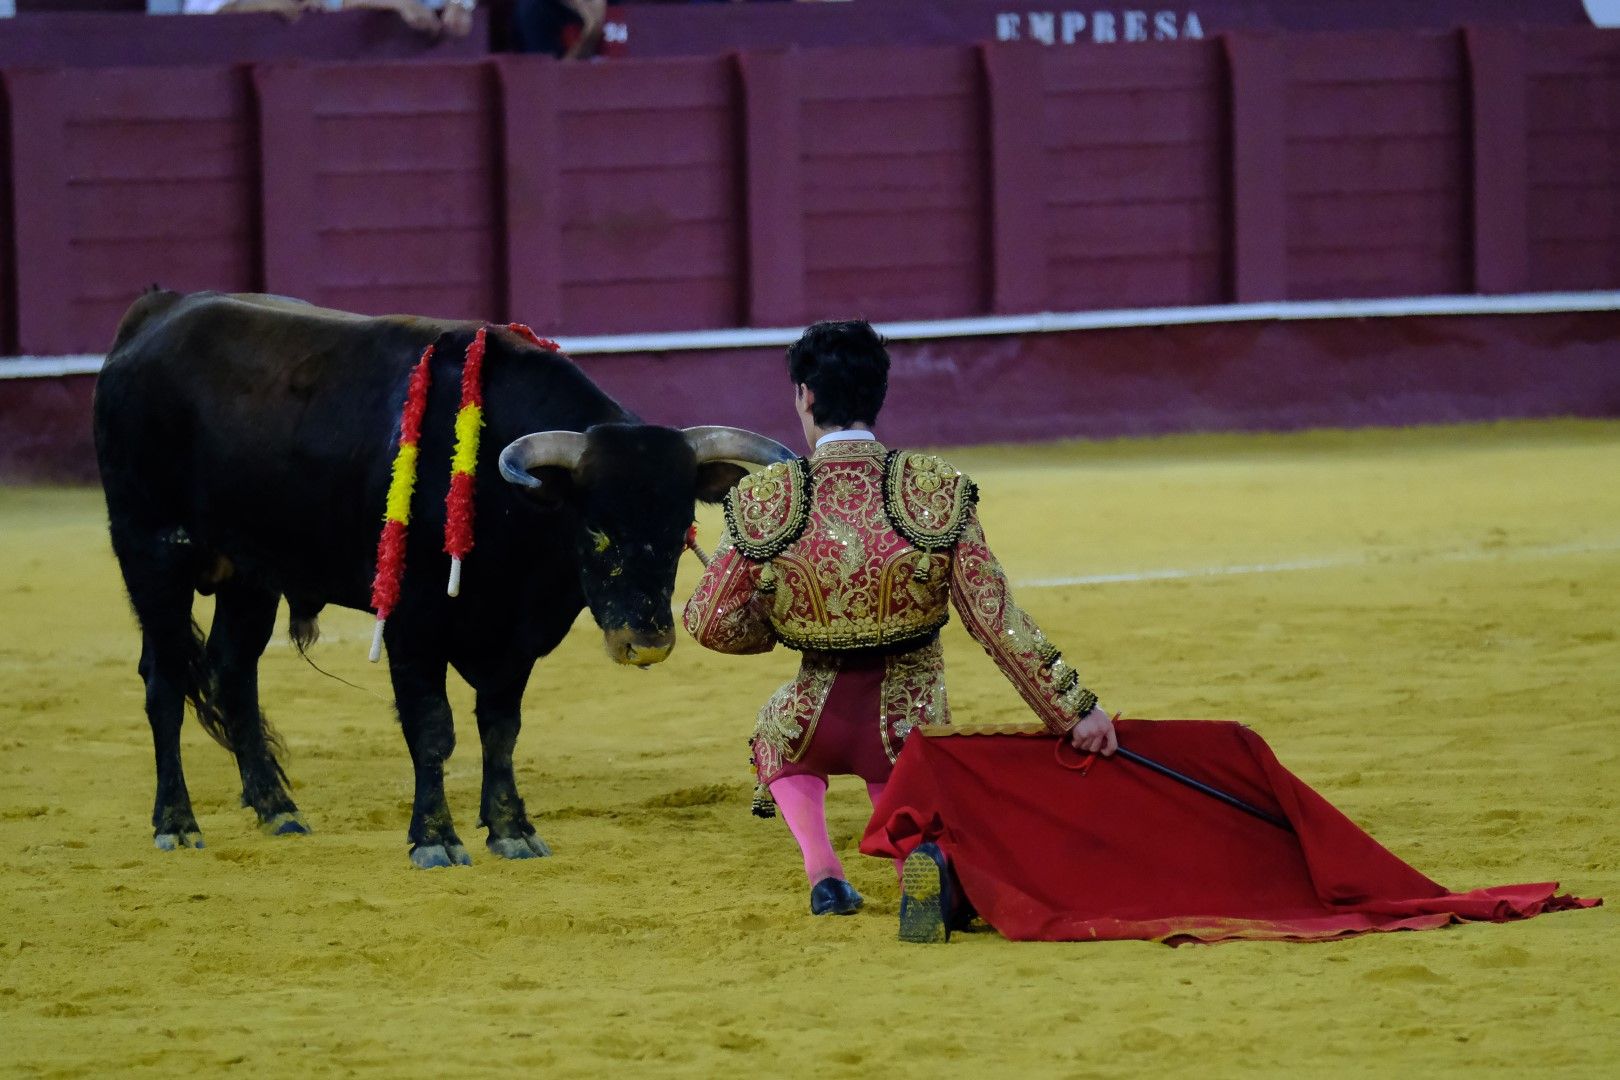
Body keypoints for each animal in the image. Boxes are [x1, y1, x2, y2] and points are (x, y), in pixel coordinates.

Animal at [94, 289, 790, 867]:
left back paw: (279, 810)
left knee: (233, 674)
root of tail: (152, 315)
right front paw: (435, 838)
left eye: (679, 531)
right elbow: (433, 729)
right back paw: (177, 823)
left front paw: (511, 829)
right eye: (595, 528)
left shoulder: (515, 640)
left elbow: (501, 730)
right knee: (164, 682)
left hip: (250, 577)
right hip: (150, 554)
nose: (645, 643)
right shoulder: (412, 626)